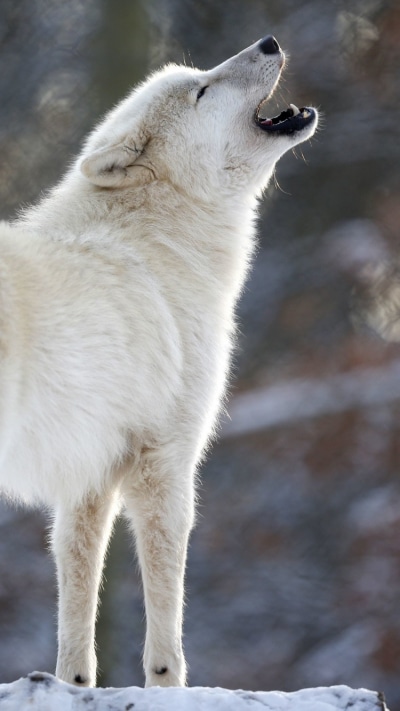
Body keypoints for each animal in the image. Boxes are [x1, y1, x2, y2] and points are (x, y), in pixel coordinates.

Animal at [0, 35, 318, 687]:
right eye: (202, 90)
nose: (269, 41)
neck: (161, 240)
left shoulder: (89, 475)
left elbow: (77, 595)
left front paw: (73, 686)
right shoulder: (165, 460)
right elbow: (167, 606)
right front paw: (168, 685)